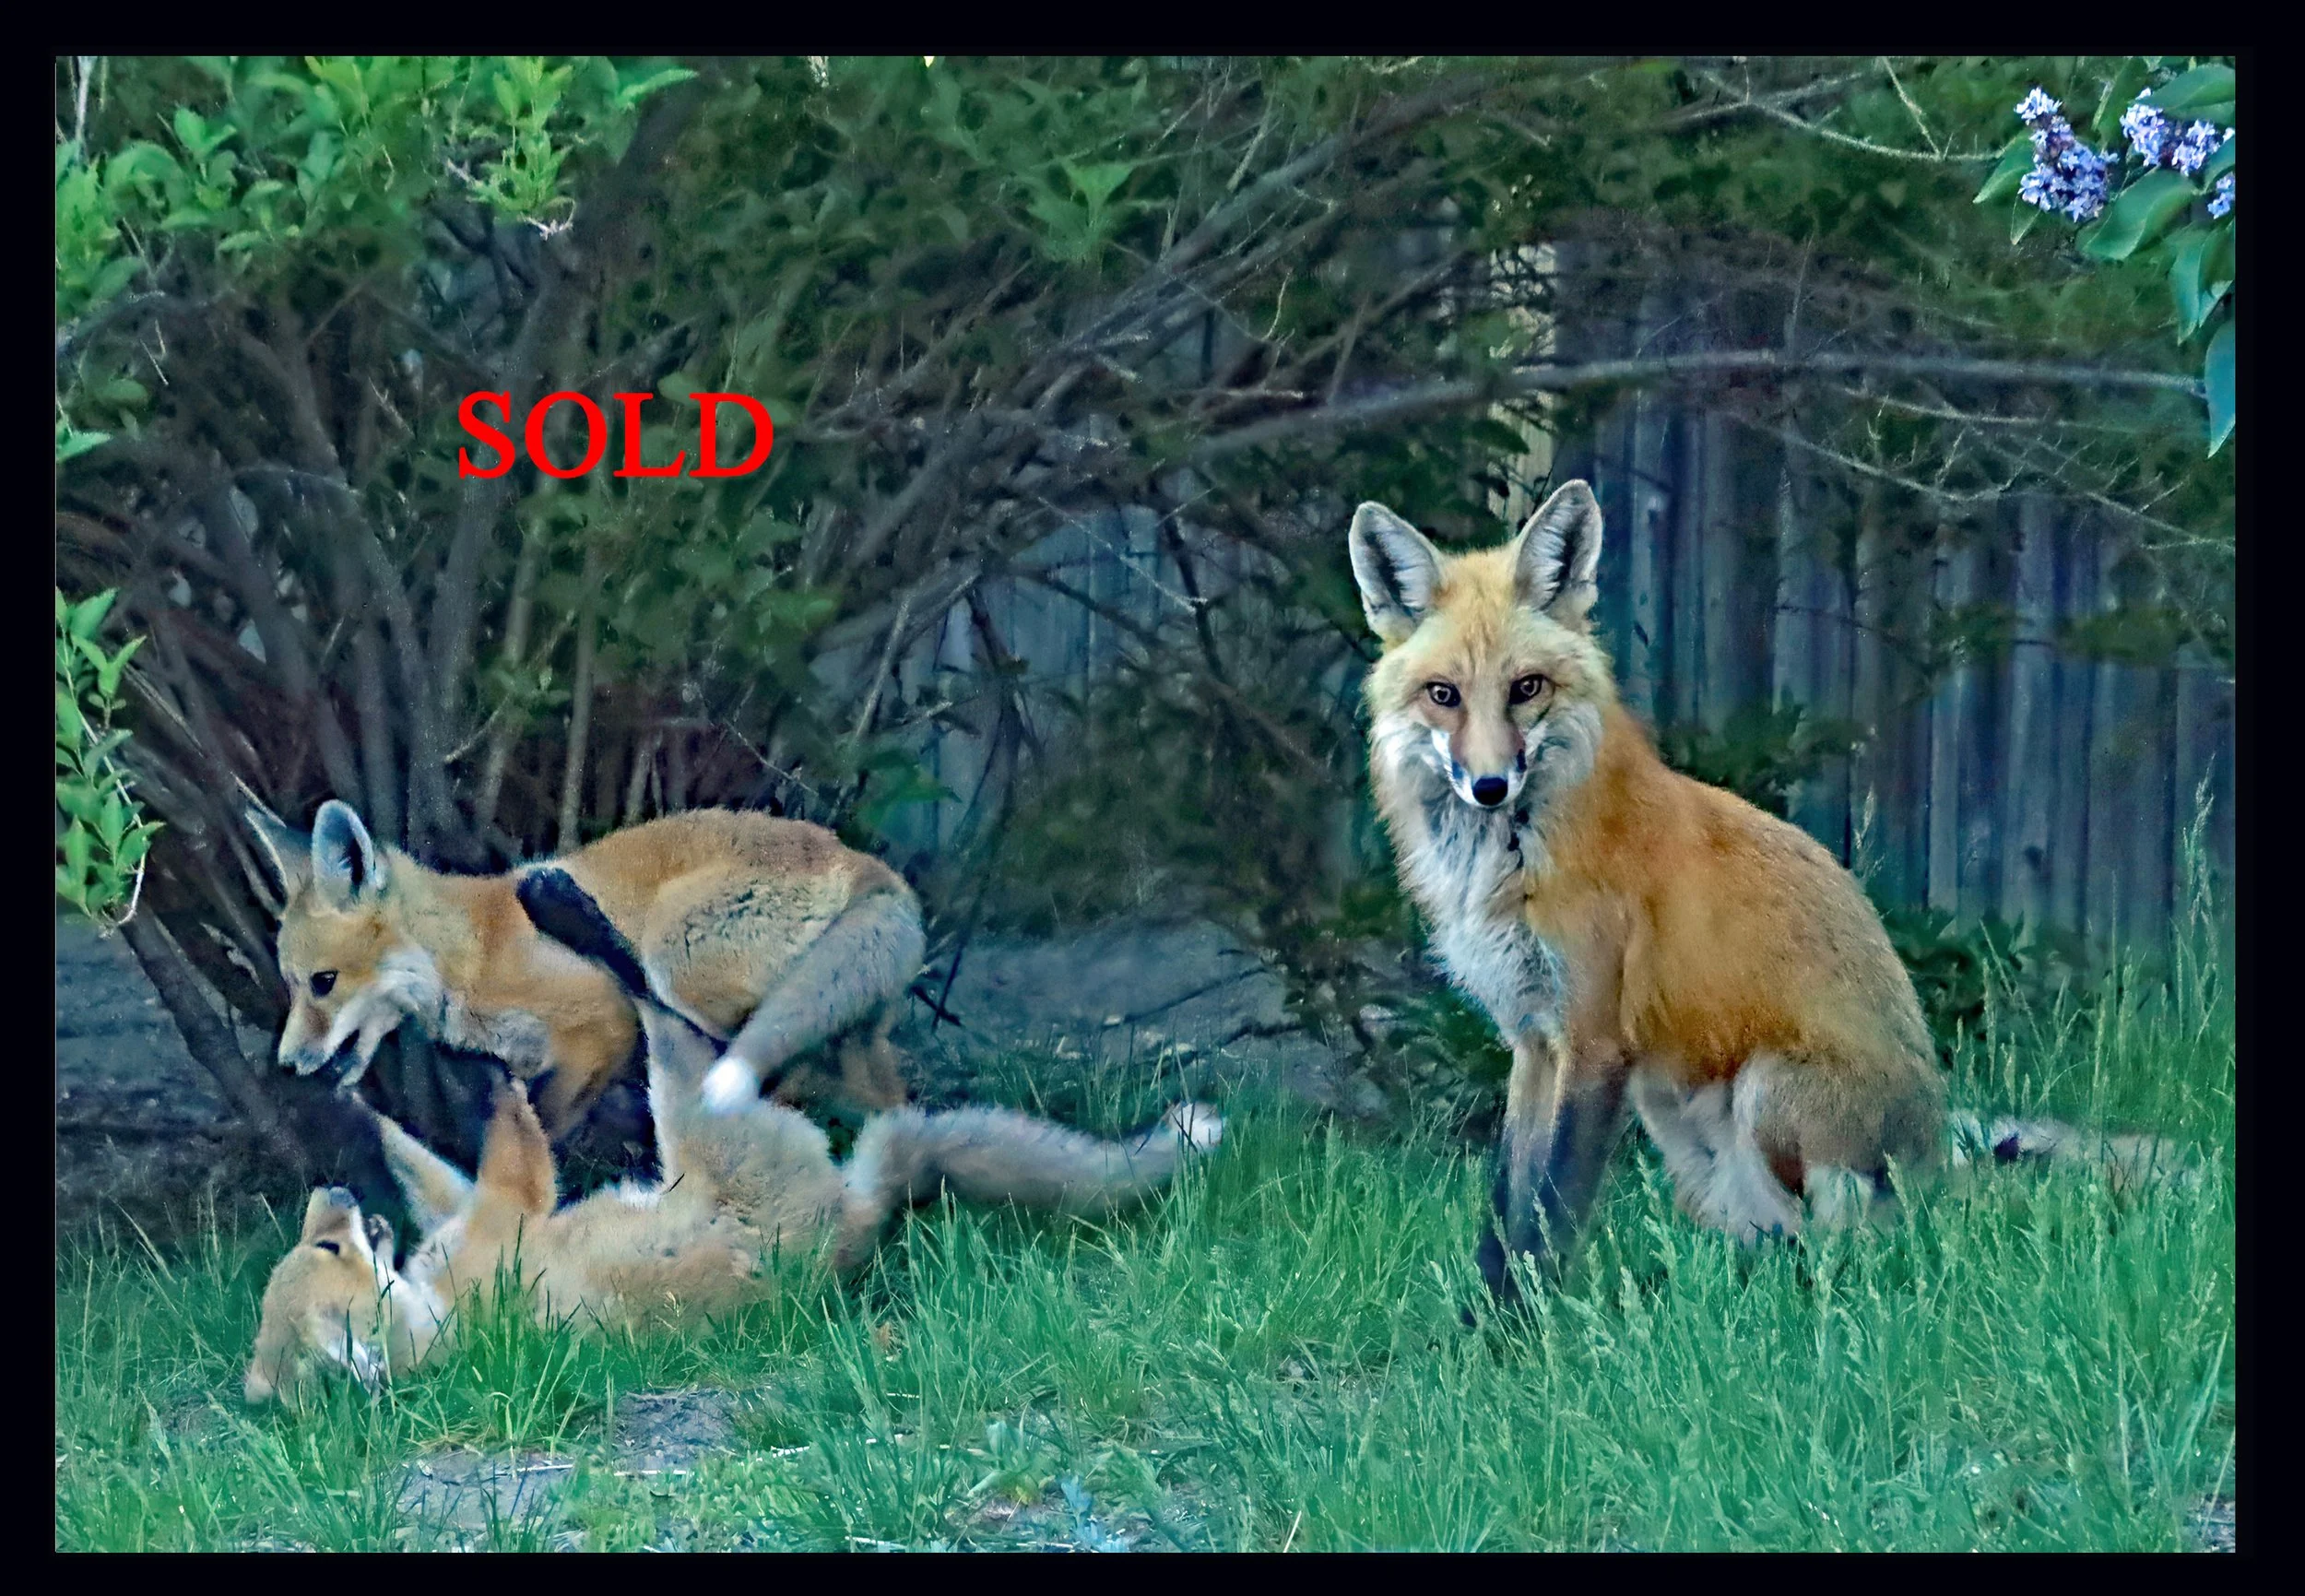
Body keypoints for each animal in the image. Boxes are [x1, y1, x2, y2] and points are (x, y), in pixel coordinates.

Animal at [243, 867, 1224, 1405]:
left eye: (316, 1239)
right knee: (668, 1010)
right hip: (697, 1112)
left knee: (664, 1005)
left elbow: (433, 1157)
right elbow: (518, 1142)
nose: (330, 1194)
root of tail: (852, 1232)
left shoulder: (475, 1211)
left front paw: (361, 1101)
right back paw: (570, 912)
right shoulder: (515, 1209)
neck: (447, 1310)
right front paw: (494, 1081)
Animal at [244, 799, 929, 1142]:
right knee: (885, 1097)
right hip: (855, 1035)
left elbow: (543, 1134)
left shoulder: (600, 1027)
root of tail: (870, 867)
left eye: (323, 982)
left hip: (675, 953)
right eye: (294, 984)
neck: (474, 951)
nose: (287, 1063)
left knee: (752, 1056)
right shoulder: (524, 1066)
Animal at [1349, 480, 2189, 1301]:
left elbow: (1550, 1208)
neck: (1509, 864)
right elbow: (1506, 1209)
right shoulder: (1532, 1037)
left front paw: (1526, 1326)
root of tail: (1938, 1159)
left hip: (1766, 1090)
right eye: (1443, 694)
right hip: (1680, 1132)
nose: (1490, 786)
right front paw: (1482, 1316)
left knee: (1863, 1246)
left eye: (1527, 687)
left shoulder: (1593, 1039)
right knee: (1776, 1240)